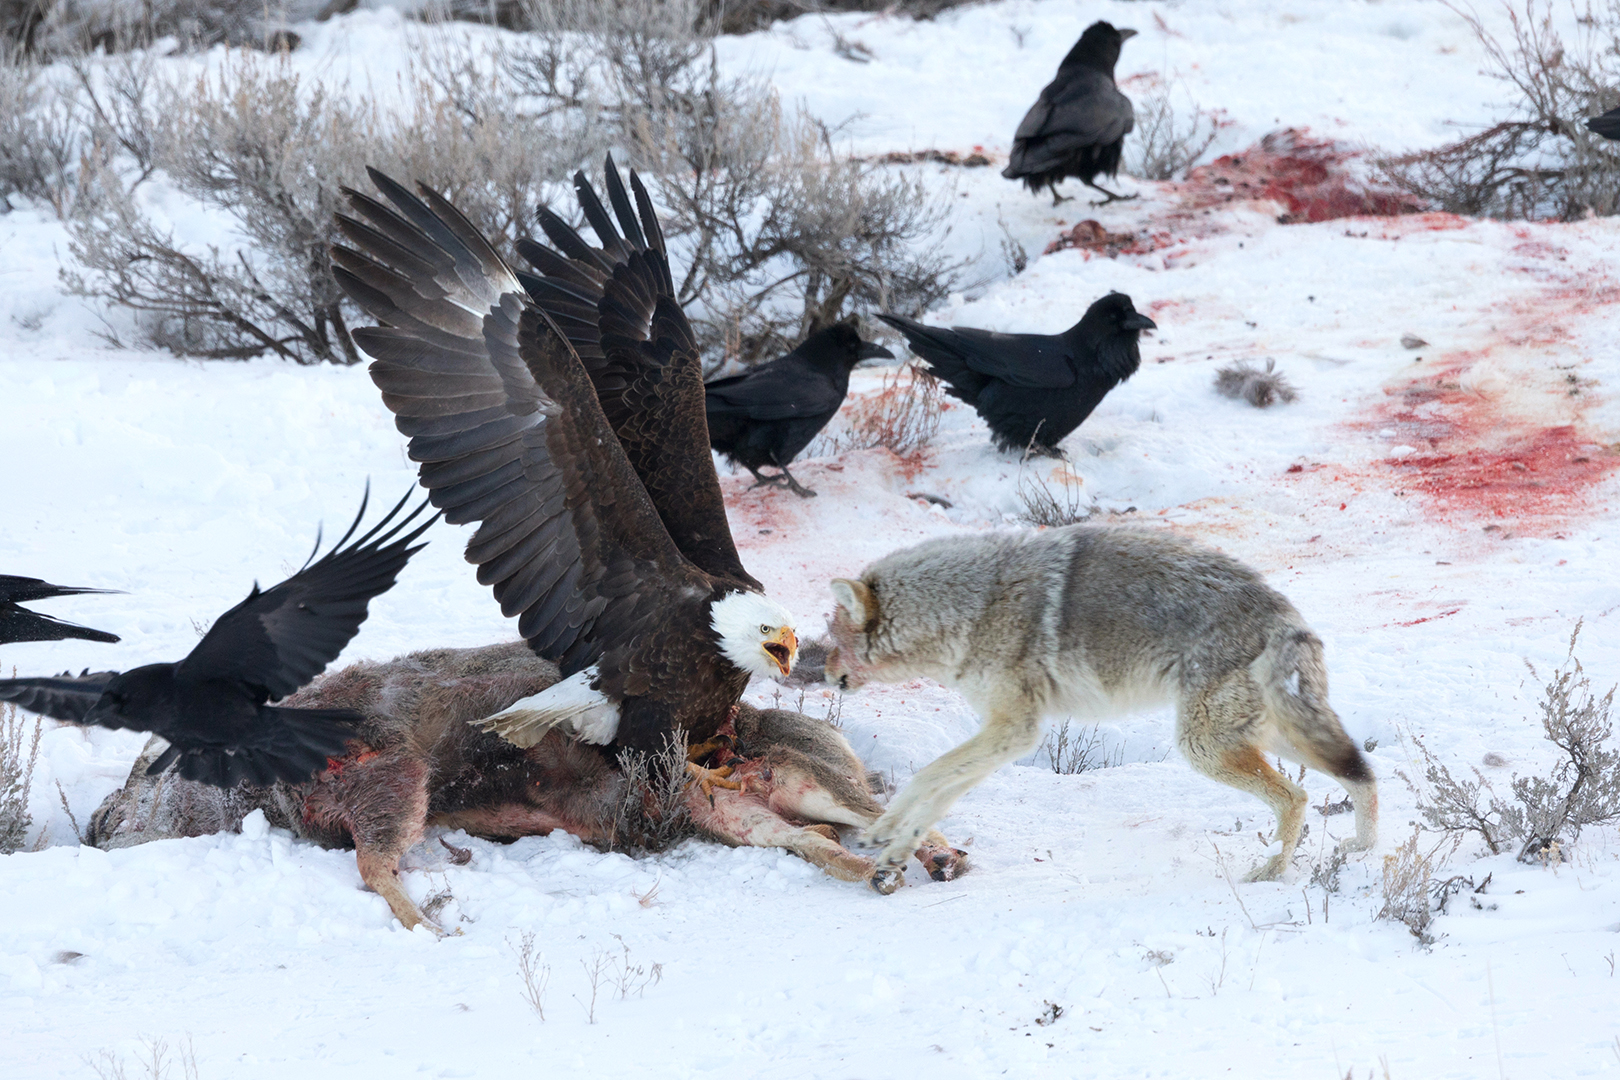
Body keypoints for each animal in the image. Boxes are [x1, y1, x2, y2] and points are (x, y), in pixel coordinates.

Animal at [88, 642, 967, 931]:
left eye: (144, 770)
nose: (99, 823)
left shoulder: (387, 769)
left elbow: (378, 863)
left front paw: (429, 923)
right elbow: (379, 860)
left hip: (812, 773)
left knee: (889, 811)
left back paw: (939, 857)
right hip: (736, 811)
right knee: (817, 841)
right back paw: (875, 869)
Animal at [823, 526, 1378, 893]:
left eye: (830, 636)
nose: (822, 674)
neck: (970, 608)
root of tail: (1284, 612)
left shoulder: (1014, 731)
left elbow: (925, 777)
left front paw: (886, 836)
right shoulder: (1003, 737)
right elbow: (937, 794)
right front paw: (894, 845)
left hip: (1203, 747)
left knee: (1297, 798)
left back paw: (1270, 873)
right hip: (1262, 736)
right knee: (1362, 775)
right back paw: (1359, 851)